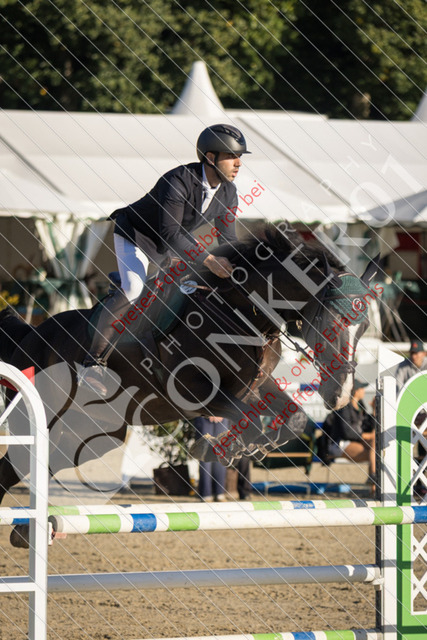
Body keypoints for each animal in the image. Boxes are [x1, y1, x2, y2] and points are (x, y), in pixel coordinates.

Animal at [0, 222, 378, 511]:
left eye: (365, 327)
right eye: (334, 322)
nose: (341, 395)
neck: (242, 311)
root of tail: (31, 334)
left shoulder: (254, 386)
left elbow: (293, 418)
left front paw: (237, 447)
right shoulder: (195, 392)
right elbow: (246, 415)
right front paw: (221, 447)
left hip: (92, 434)